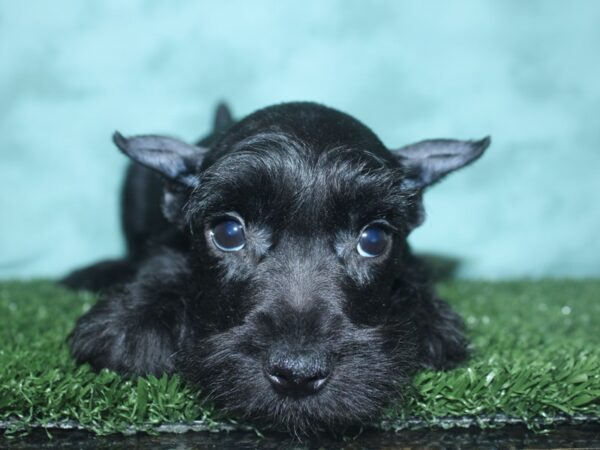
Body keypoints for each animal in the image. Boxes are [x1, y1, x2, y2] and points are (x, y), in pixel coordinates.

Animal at [65, 102, 490, 432]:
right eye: (229, 233)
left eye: (373, 240)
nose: (297, 375)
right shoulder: (169, 243)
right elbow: (163, 263)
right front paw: (135, 323)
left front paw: (429, 320)